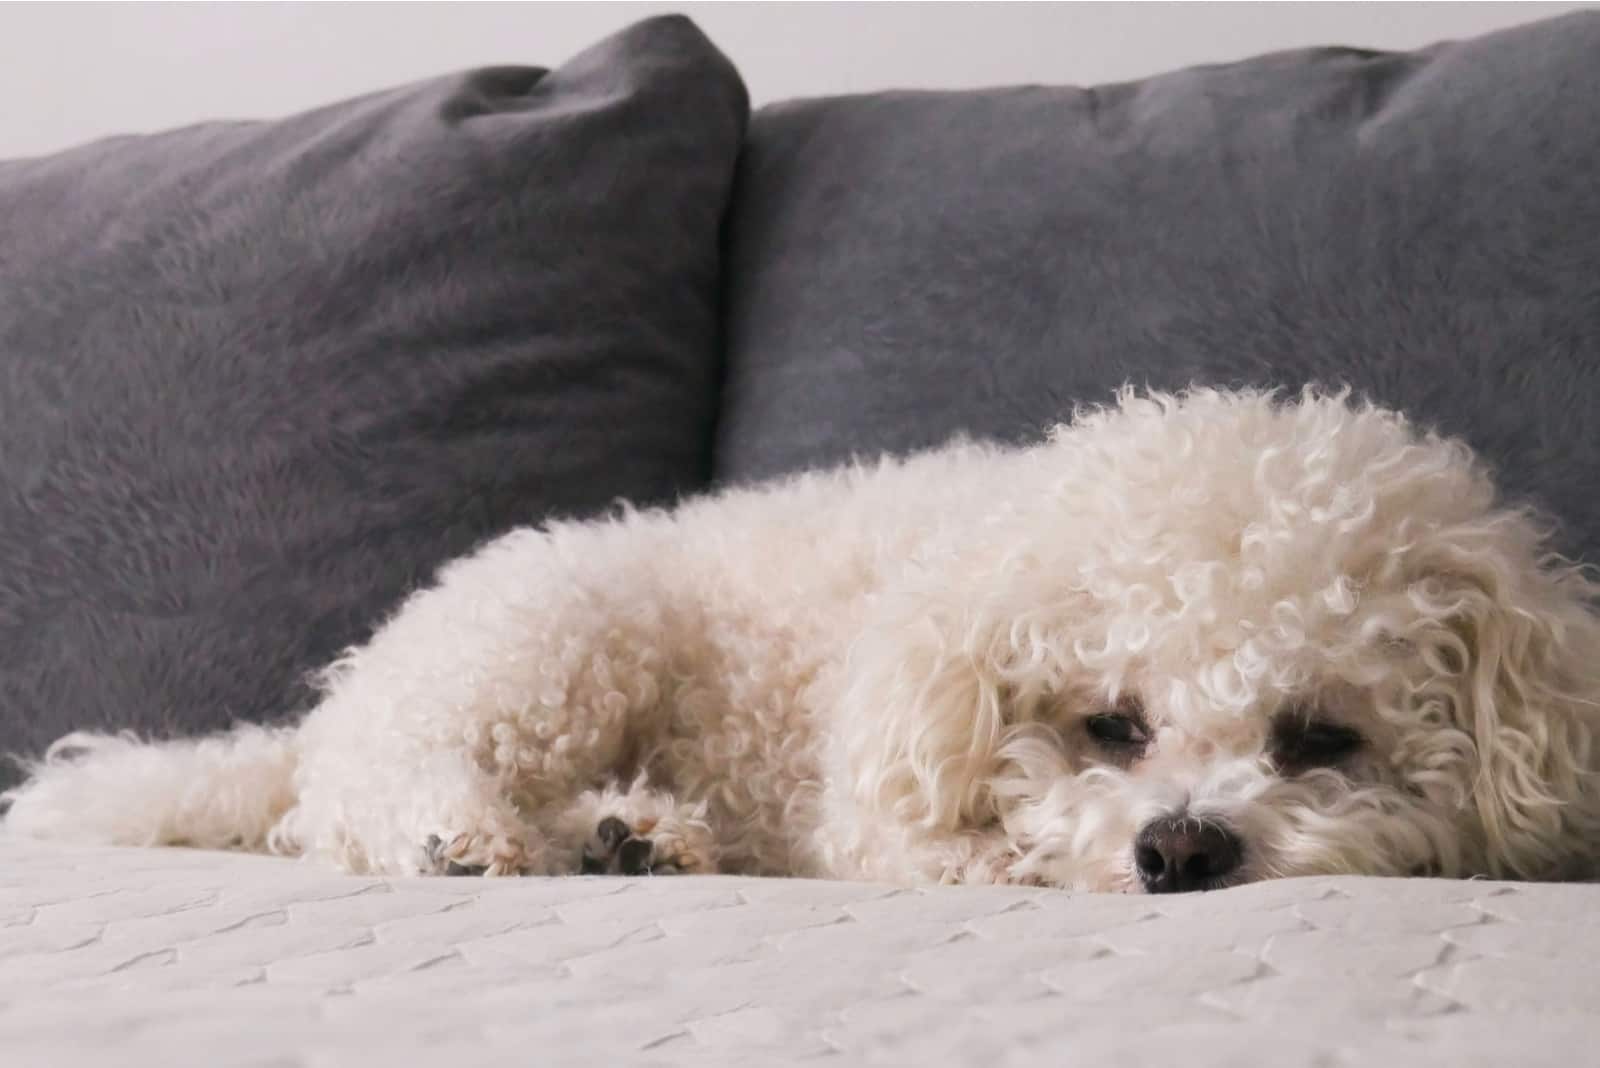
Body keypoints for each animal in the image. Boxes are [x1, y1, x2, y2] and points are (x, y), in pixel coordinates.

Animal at [3, 390, 1600, 895]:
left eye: (1322, 738)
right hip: (555, 635)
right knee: (369, 784)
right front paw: (1023, 855)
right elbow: (961, 847)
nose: (1179, 849)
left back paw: (631, 838)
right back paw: (464, 831)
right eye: (1113, 723)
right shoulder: (870, 803)